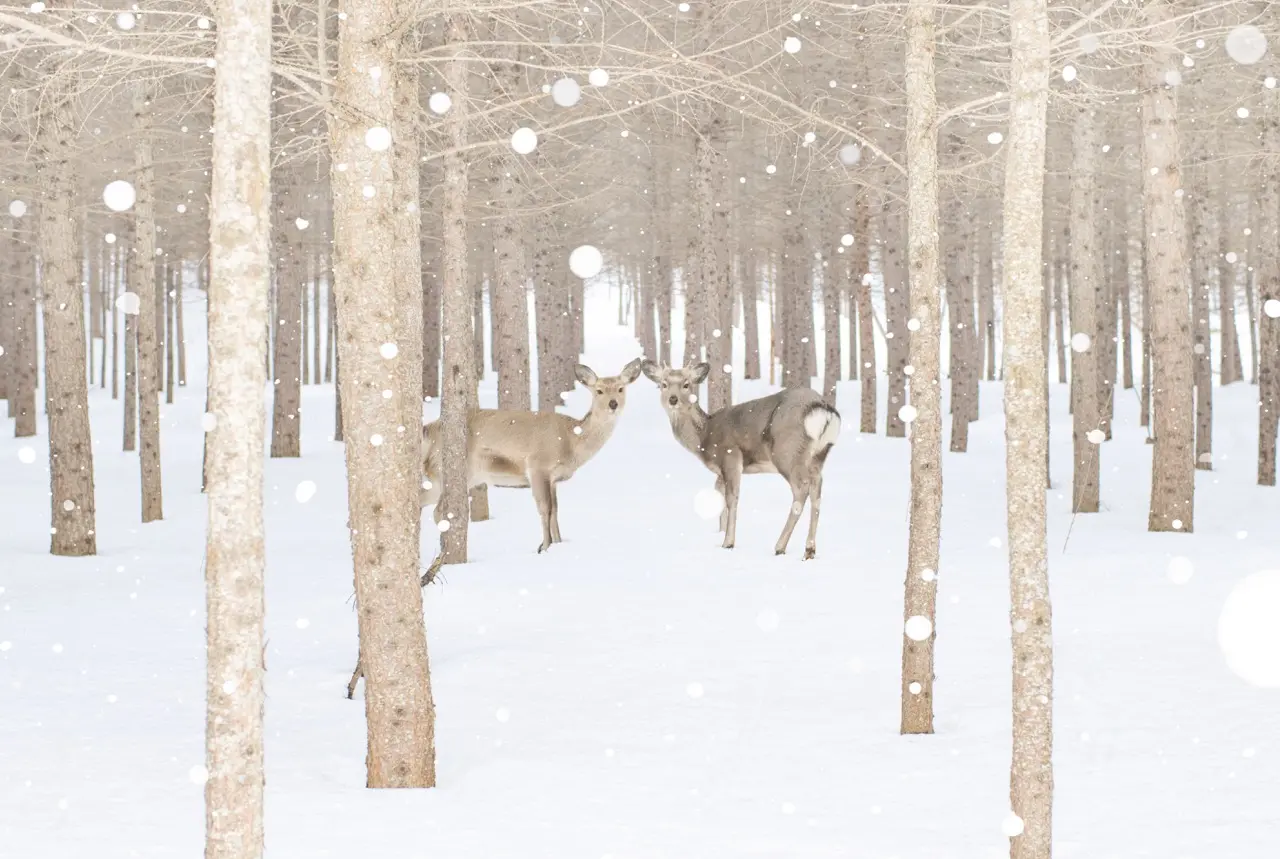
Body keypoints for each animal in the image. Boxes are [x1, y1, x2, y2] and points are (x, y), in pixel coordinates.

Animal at [420, 359, 643, 553]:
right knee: (438, 511)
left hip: (445, 478)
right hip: (453, 470)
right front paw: (544, 547)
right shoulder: (537, 466)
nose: (613, 404)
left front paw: (557, 543)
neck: (572, 441)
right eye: (599, 390)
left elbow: (556, 510)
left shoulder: (553, 478)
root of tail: (430, 429)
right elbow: (545, 509)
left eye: (621, 389)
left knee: (422, 502)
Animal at [640, 361, 841, 559]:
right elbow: (719, 495)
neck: (704, 437)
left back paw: (780, 546)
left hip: (787, 452)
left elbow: (732, 498)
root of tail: (823, 409)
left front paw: (728, 542)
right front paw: (720, 533)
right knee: (817, 490)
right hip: (818, 456)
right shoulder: (720, 472)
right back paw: (809, 550)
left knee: (801, 489)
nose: (673, 399)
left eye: (686, 384)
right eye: (663, 384)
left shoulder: (731, 456)